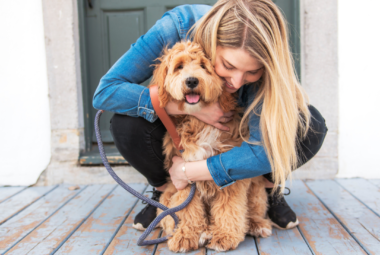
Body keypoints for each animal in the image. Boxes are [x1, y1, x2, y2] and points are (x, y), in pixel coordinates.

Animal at [150, 40, 272, 252]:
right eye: (179, 66)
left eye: (203, 66)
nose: (191, 81)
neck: (199, 121)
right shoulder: (183, 174)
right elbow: (187, 208)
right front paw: (187, 235)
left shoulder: (229, 174)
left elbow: (229, 207)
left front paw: (225, 235)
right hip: (167, 195)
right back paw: (202, 231)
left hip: (256, 190)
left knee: (252, 211)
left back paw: (257, 224)